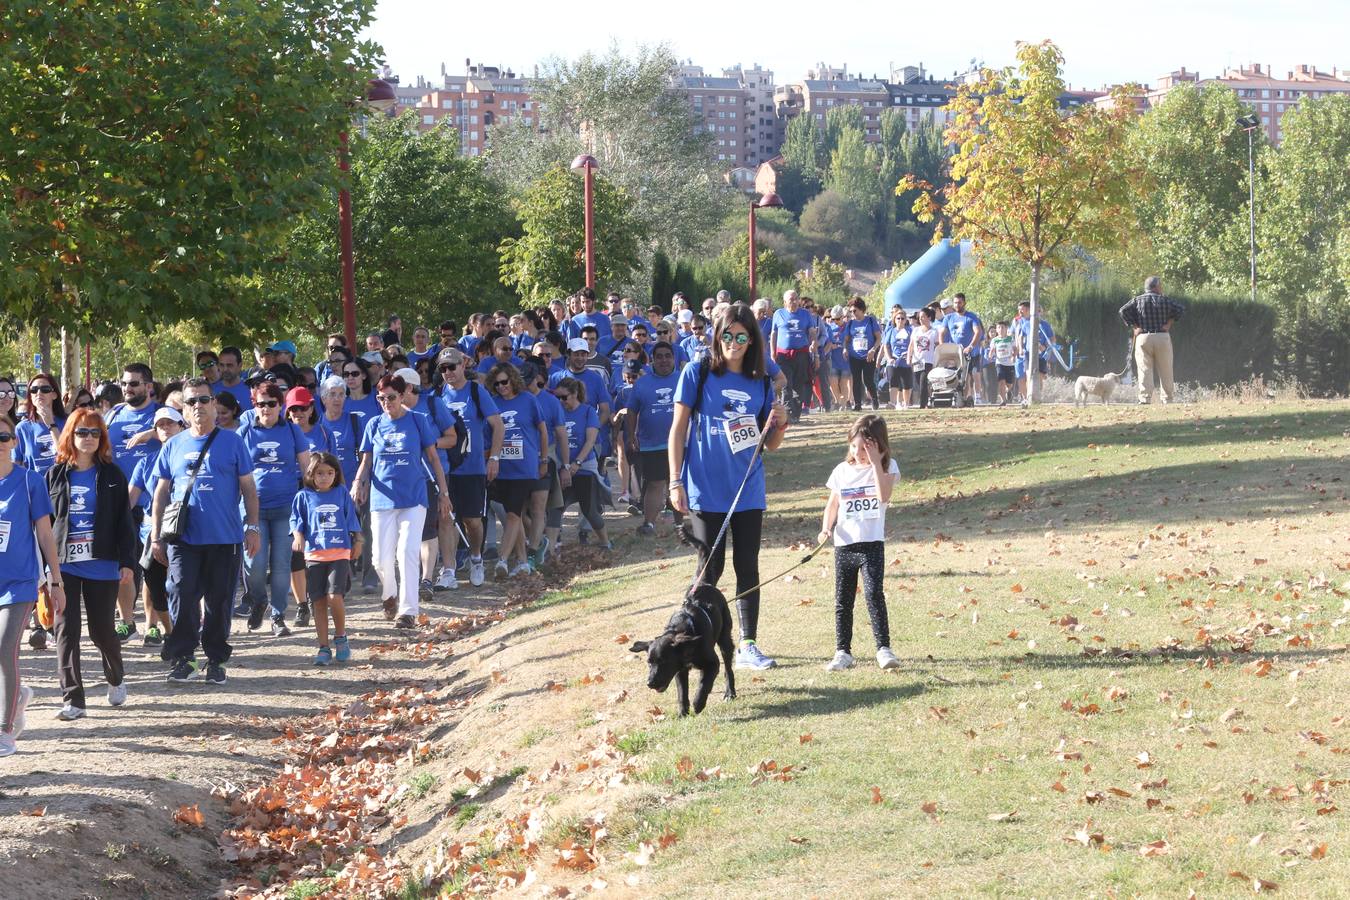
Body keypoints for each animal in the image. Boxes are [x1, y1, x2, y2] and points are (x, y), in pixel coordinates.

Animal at [629, 585, 739, 717]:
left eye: (664, 662)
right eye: (649, 663)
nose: (650, 683)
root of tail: (706, 585)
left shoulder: (713, 663)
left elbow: (704, 684)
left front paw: (698, 704)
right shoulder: (679, 670)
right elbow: (682, 692)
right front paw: (682, 713)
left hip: (725, 640)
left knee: (728, 669)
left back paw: (730, 693)